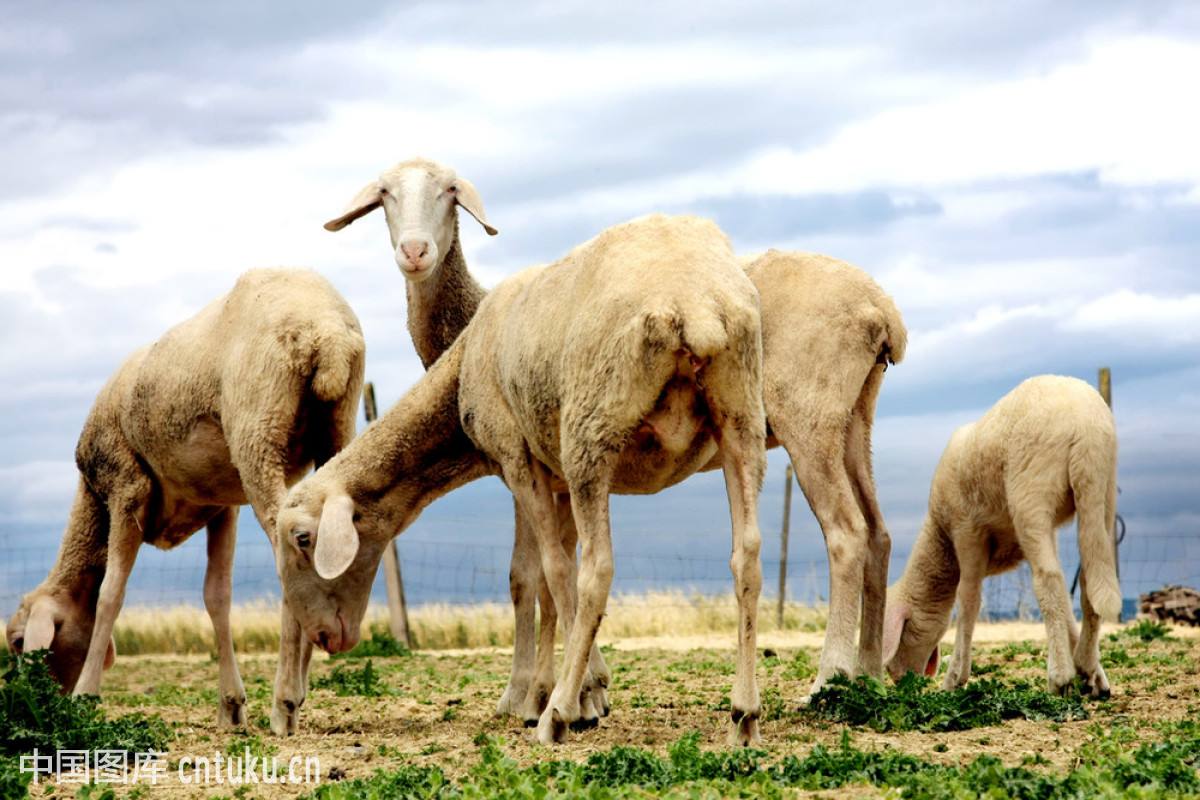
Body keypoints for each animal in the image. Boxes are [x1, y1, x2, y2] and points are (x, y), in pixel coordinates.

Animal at [3, 271, 364, 734]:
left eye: (18, 641)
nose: (26, 705)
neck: (93, 498)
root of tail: (327, 331)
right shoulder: (221, 504)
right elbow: (217, 596)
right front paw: (230, 706)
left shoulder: (127, 487)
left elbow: (109, 595)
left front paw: (86, 696)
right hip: (335, 426)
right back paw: (299, 687)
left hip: (258, 432)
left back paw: (284, 699)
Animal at [274, 215, 768, 748]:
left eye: (303, 539)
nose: (324, 638)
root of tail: (694, 306)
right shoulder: (555, 477)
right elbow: (547, 587)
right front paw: (565, 690)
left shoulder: (518, 459)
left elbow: (553, 572)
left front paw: (575, 697)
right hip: (740, 421)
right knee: (746, 556)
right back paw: (744, 715)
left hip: (592, 434)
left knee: (597, 569)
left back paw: (557, 719)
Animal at [328, 155, 907, 719]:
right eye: (384, 195)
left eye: (450, 192)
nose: (414, 251)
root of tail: (883, 311)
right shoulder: (553, 473)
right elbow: (547, 577)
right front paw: (556, 688)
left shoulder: (523, 465)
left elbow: (526, 577)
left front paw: (534, 694)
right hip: (854, 416)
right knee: (878, 532)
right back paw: (867, 677)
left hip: (809, 417)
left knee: (846, 534)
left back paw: (828, 680)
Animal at [883, 376, 1123, 695]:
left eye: (903, 634)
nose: (901, 682)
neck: (941, 538)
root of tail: (1086, 426)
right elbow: (1066, 602)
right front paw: (1087, 667)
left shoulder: (966, 530)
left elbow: (968, 600)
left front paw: (954, 677)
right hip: (1101, 491)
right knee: (1088, 579)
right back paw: (1086, 663)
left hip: (1031, 493)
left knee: (1048, 579)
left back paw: (1059, 676)